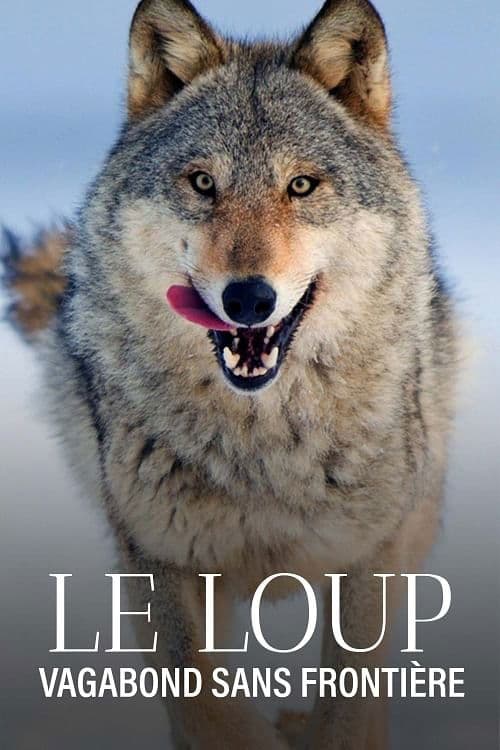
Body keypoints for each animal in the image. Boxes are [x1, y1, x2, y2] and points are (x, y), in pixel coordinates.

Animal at [2, 0, 458, 747]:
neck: (263, 446)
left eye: (300, 185)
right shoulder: (158, 557)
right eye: (202, 183)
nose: (248, 298)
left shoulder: (373, 551)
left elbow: (351, 702)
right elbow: (204, 703)